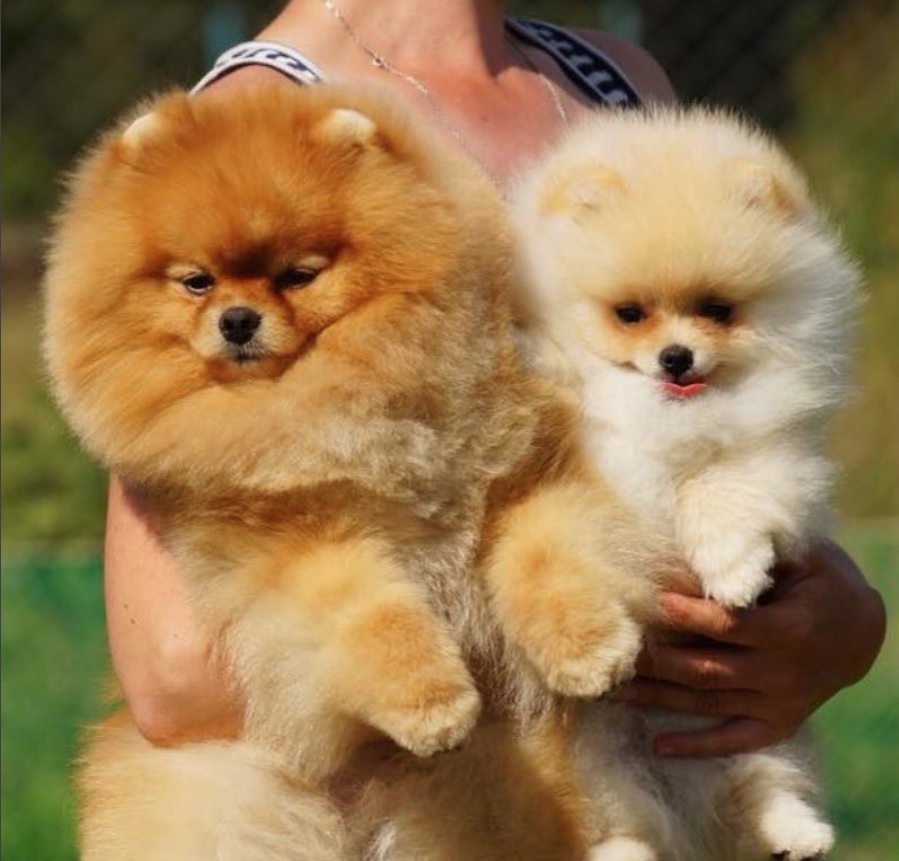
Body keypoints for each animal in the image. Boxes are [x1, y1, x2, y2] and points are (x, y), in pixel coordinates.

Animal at [40, 82, 652, 860]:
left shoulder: (520, 474)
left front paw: (591, 651)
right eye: (196, 282)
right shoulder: (291, 548)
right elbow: (371, 616)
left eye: (298, 274)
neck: (334, 401)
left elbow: (548, 560)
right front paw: (433, 704)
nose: (237, 320)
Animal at [510, 107, 860, 860]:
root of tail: (672, 793)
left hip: (754, 736)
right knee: (615, 822)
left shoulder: (773, 452)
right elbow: (553, 550)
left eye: (716, 309)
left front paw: (733, 570)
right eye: (630, 314)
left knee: (757, 786)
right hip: (589, 763)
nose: (676, 357)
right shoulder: (563, 474)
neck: (658, 415)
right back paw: (626, 849)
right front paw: (586, 649)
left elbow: (720, 486)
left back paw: (797, 833)